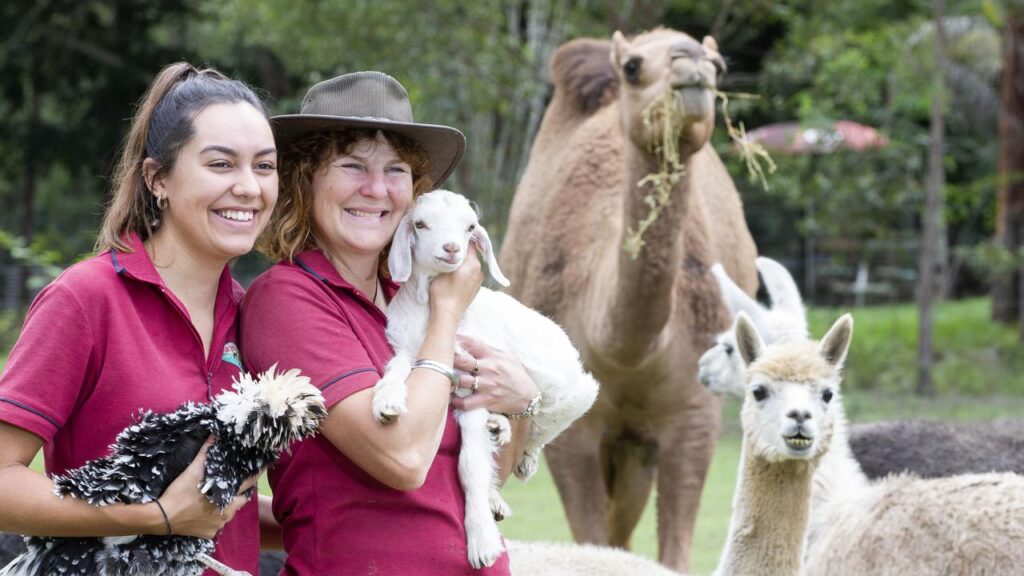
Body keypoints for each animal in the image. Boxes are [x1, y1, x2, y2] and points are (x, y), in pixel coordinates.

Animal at [499, 28, 758, 572]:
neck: (631, 352)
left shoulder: (694, 417)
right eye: (634, 67)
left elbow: (674, 550)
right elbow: (588, 538)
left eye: (719, 66)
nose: (692, 64)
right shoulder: (571, 431)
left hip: (639, 443)